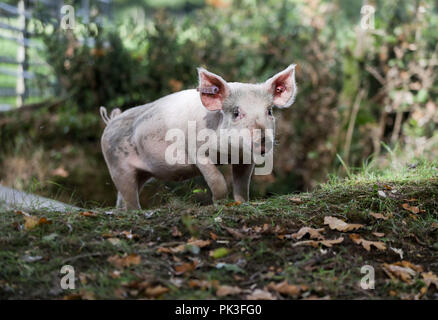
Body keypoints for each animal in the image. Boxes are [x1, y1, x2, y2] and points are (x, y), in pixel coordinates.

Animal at [101, 65, 296, 210]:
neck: (228, 153)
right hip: (117, 166)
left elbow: (242, 185)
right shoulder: (197, 152)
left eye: (269, 111)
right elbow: (217, 180)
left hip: (140, 173)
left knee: (123, 196)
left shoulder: (245, 159)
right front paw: (221, 203)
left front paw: (241, 203)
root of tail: (110, 122)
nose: (263, 142)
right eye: (236, 113)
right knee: (129, 195)